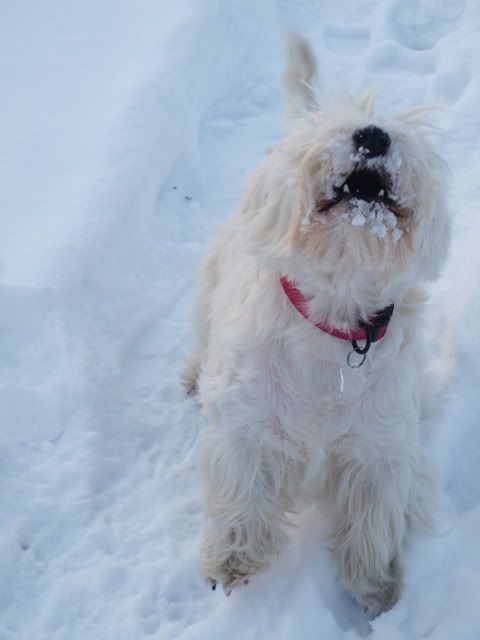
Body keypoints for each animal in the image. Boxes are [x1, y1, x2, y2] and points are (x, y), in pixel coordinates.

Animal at [184, 34, 451, 615]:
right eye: (324, 125)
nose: (373, 134)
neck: (334, 320)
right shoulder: (248, 426)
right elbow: (243, 495)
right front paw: (233, 560)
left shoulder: (380, 449)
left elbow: (372, 523)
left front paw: (375, 590)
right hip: (209, 285)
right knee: (199, 332)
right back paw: (191, 375)